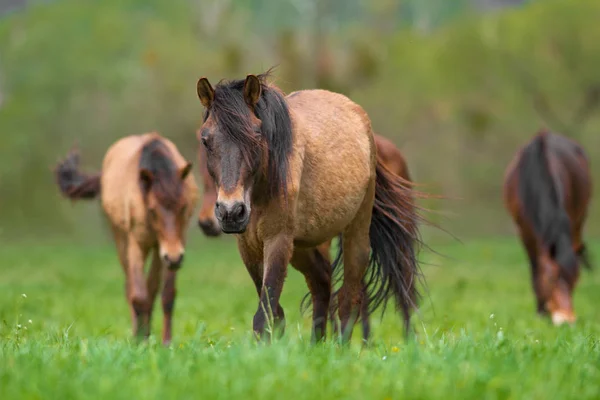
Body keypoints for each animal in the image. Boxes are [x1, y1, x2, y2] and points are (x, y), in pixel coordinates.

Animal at [54, 132, 198, 344]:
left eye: (183, 207)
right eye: (153, 210)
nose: (173, 257)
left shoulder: (168, 245)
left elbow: (166, 295)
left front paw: (166, 342)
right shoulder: (137, 244)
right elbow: (137, 295)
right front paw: (139, 341)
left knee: (151, 288)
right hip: (121, 240)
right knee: (130, 287)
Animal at [197, 70, 422, 342]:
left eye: (256, 135)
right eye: (205, 140)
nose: (230, 211)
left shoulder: (278, 241)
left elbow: (265, 315)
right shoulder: (248, 246)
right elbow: (275, 314)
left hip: (357, 234)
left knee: (354, 298)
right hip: (303, 247)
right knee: (322, 284)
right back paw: (318, 345)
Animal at [504, 130, 592, 326]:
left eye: (576, 279)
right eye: (551, 279)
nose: (567, 320)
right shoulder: (525, 231)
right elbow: (536, 269)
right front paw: (540, 313)